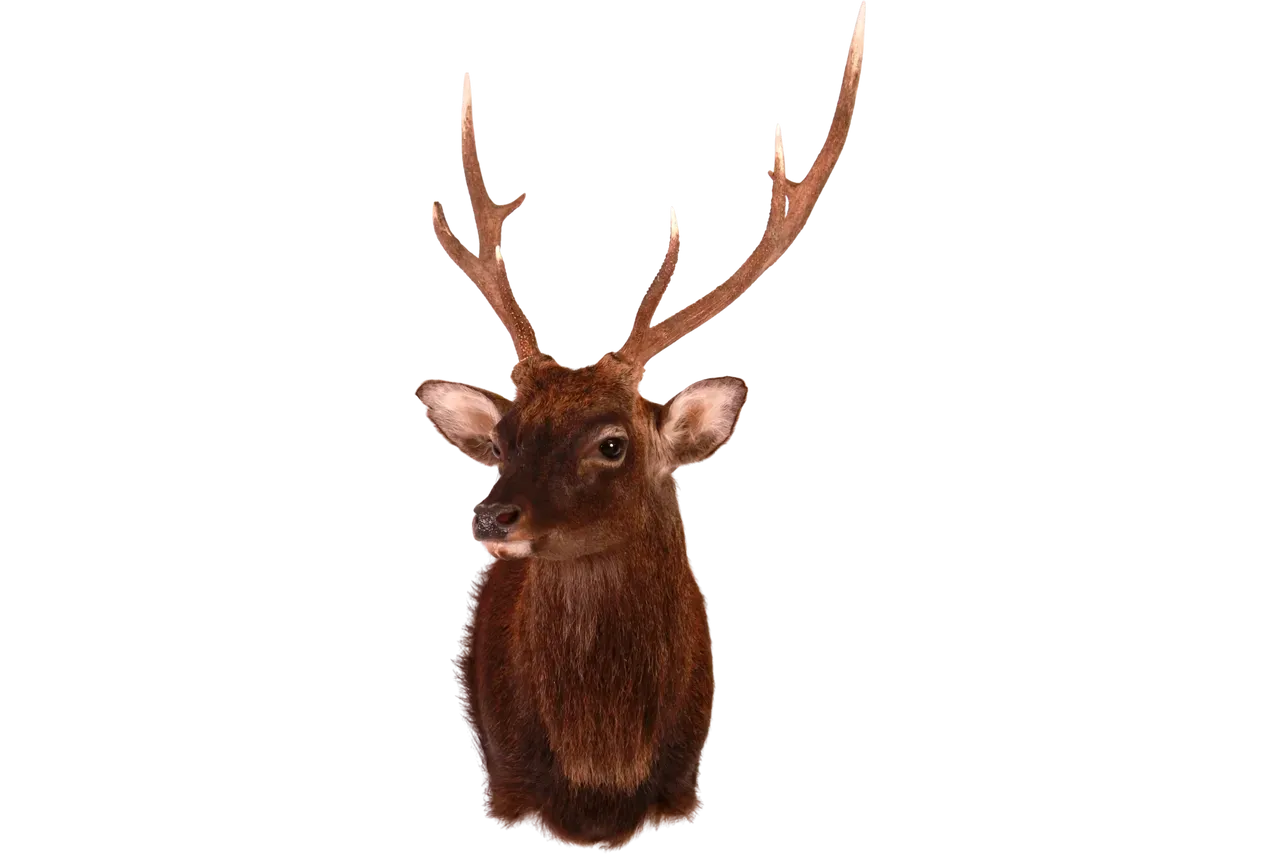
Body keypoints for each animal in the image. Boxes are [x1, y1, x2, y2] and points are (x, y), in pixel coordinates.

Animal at [420, 4, 867, 848]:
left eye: (612, 443)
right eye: (501, 440)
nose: (490, 514)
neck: (600, 784)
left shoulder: (683, 783)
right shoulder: (506, 785)